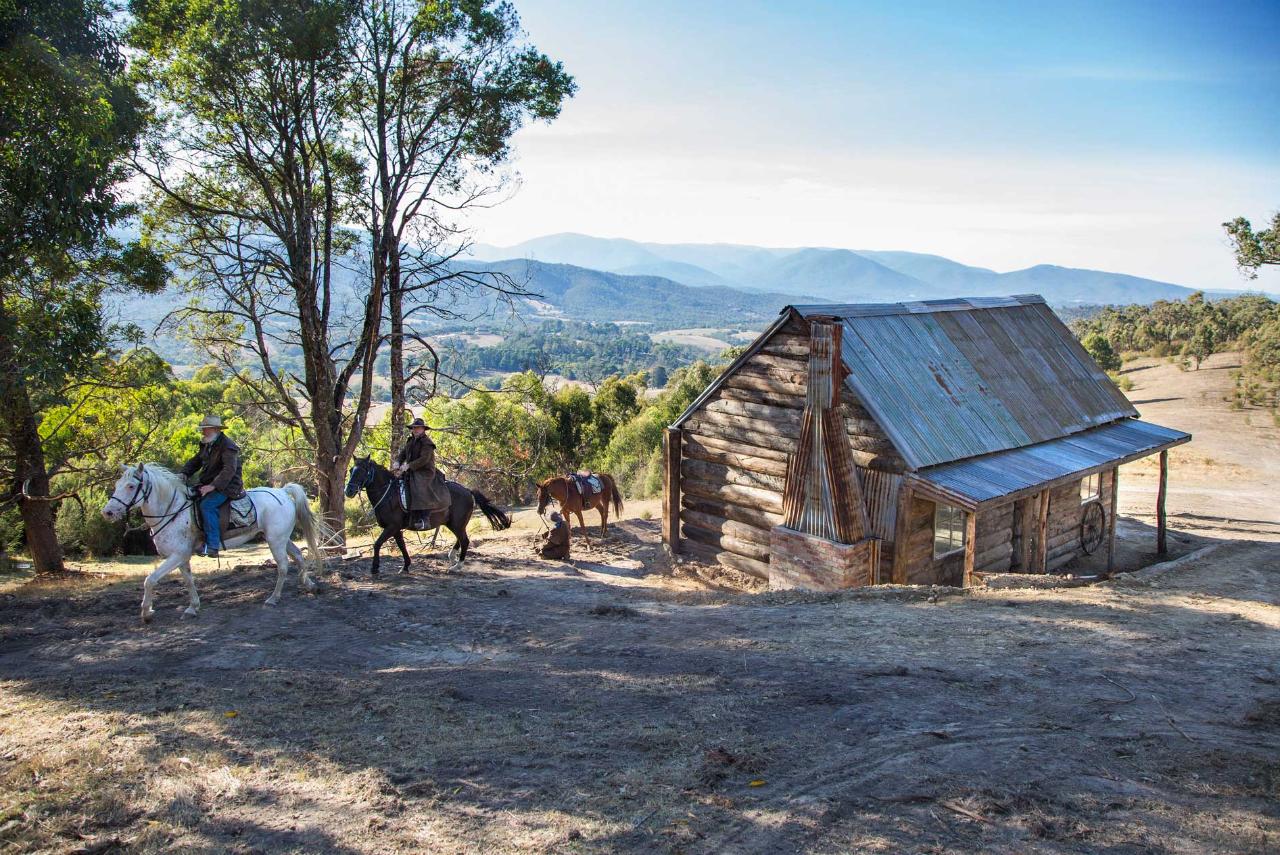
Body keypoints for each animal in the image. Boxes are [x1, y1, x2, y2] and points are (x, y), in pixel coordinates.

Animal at [102, 460, 330, 622]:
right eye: (117, 484)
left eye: (131, 486)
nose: (108, 512)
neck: (172, 510)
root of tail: (282, 491)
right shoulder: (182, 558)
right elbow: (189, 581)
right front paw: (193, 607)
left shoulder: (177, 555)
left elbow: (150, 579)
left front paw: (146, 612)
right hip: (281, 539)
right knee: (299, 556)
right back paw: (309, 585)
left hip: (275, 541)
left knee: (283, 566)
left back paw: (273, 599)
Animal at [348, 453, 512, 573]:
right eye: (351, 471)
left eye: (363, 471)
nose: (348, 491)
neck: (389, 494)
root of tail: (467, 490)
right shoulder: (396, 529)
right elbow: (402, 546)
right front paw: (405, 566)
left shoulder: (392, 527)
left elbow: (377, 544)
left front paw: (375, 568)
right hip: (454, 523)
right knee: (461, 539)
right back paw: (452, 557)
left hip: (457, 524)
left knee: (464, 540)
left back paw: (457, 566)